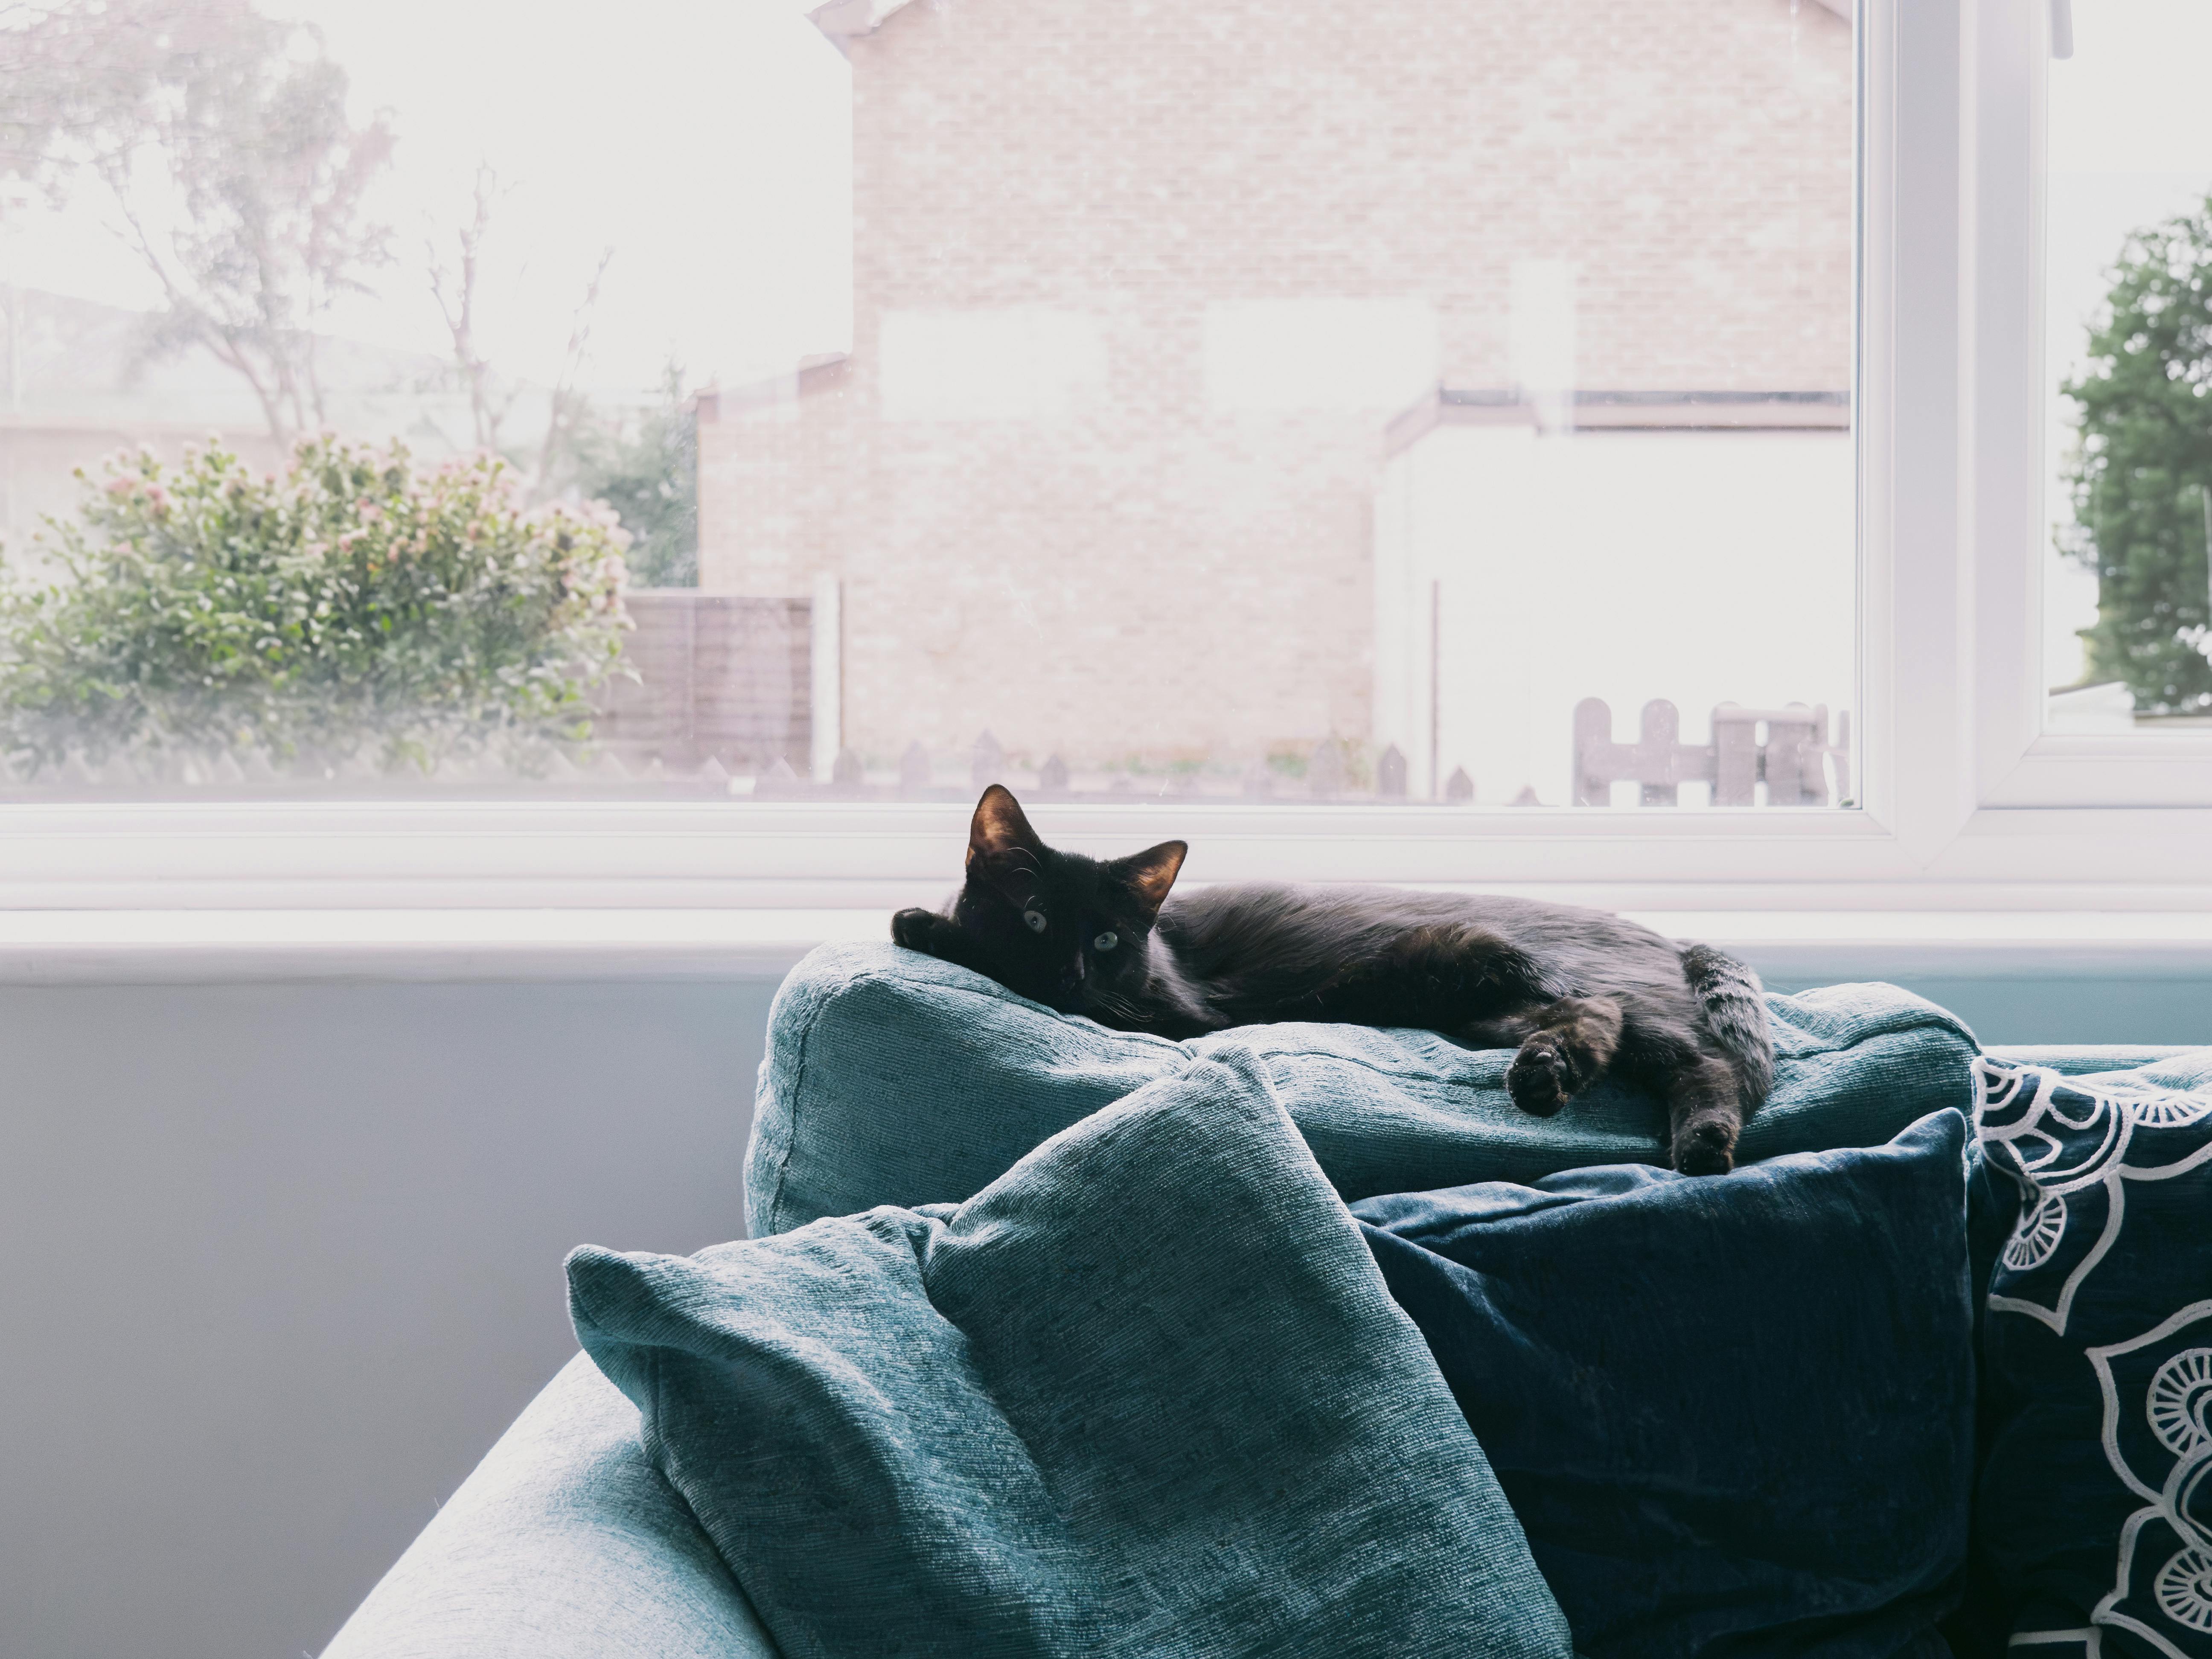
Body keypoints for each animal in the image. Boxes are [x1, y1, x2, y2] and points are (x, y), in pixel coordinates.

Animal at [889, 787, 1770, 1176]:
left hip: (1536, 973)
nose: (1069, 973)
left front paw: (923, 924)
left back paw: (1697, 1142)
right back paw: (1547, 1077)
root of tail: (1664, 933)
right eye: (1034, 919)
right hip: (1490, 1006)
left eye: (1105, 939)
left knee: (1686, 1052)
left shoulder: (1172, 1013)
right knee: (1597, 1026)